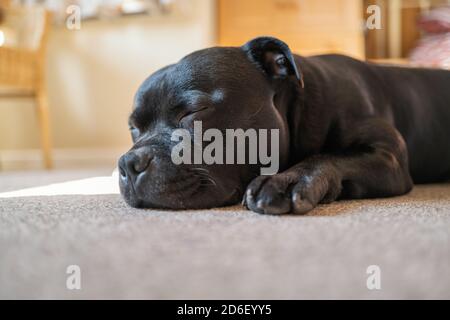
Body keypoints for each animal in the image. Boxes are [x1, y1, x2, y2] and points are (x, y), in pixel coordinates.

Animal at [118, 36, 450, 214]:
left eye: (194, 111)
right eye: (134, 128)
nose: (127, 164)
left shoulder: (388, 155)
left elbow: (329, 156)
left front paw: (286, 181)